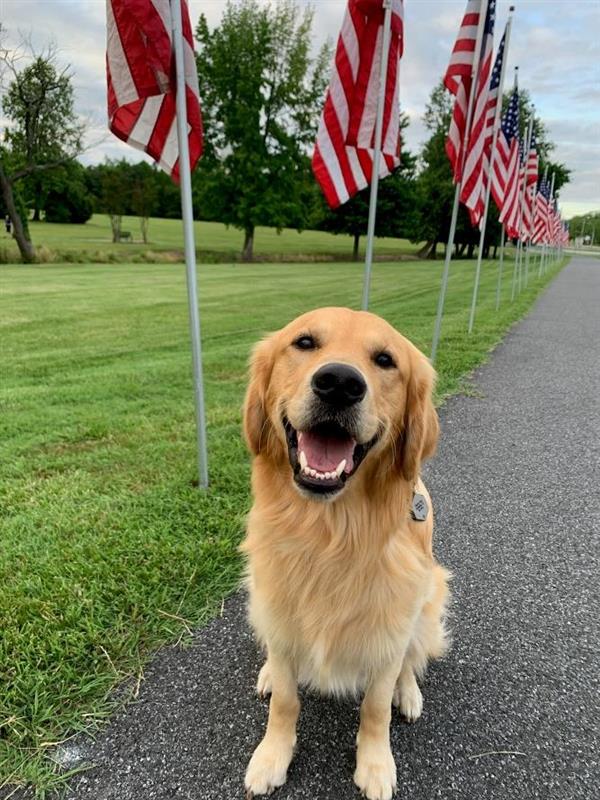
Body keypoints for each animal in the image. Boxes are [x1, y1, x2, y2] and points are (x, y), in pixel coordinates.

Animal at [241, 308, 448, 800]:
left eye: (385, 360)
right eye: (304, 342)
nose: (339, 382)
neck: (329, 533)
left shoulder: (392, 625)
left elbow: (376, 705)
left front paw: (375, 764)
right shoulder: (278, 607)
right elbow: (286, 700)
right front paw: (272, 755)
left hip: (431, 598)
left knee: (412, 659)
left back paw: (409, 693)